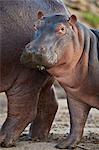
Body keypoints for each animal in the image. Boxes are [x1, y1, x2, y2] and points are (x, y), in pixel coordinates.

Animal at [0, 0, 69, 148]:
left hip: (25, 76)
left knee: (24, 109)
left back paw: (3, 140)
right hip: (42, 77)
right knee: (50, 103)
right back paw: (35, 137)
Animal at [21, 10, 99, 149]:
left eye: (62, 29)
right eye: (35, 25)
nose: (34, 50)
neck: (87, 46)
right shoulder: (75, 97)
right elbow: (77, 120)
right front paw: (65, 145)